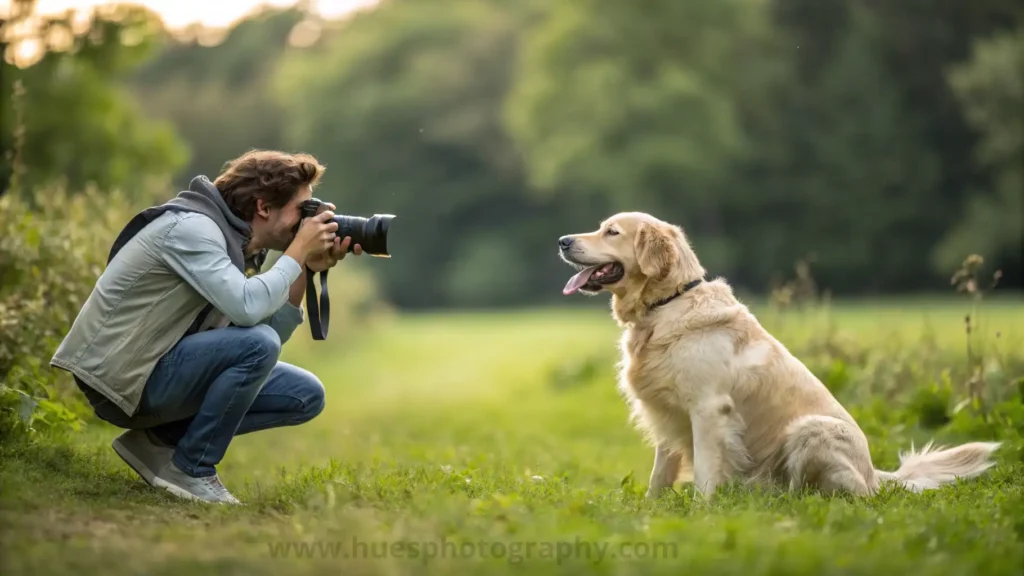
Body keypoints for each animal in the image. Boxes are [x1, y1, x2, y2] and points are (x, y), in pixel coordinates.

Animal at [561, 211, 999, 498]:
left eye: (611, 232)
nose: (563, 241)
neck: (668, 303)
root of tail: (876, 475)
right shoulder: (666, 411)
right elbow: (659, 474)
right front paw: (650, 513)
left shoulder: (708, 408)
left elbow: (705, 472)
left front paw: (703, 512)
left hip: (809, 430)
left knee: (834, 495)